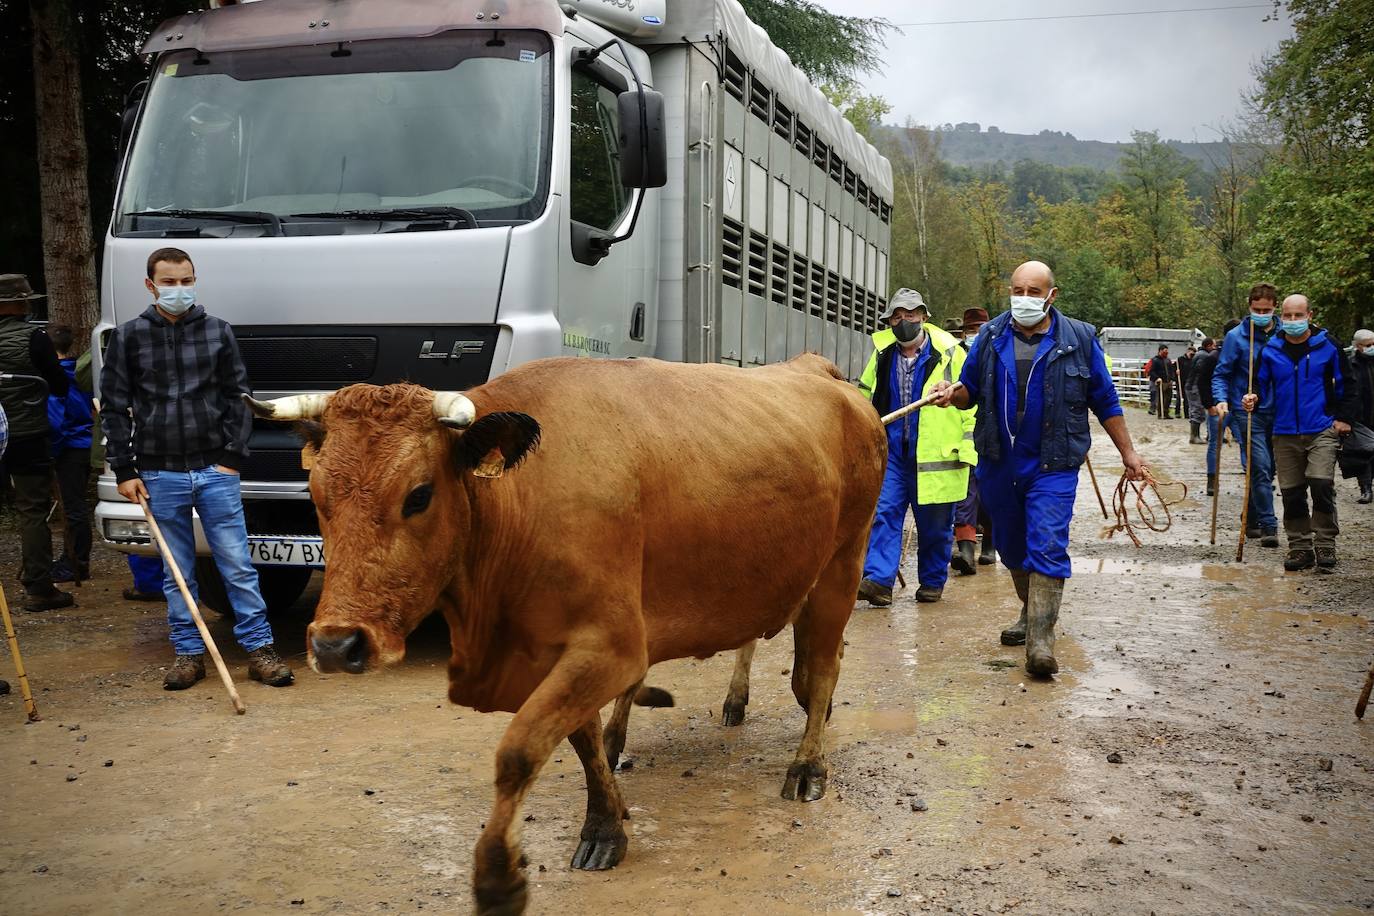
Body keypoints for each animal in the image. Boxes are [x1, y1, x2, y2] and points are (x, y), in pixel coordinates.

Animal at [247, 357, 879, 916]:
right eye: (318, 496)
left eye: (419, 495)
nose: (335, 644)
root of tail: (823, 372)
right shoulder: (558, 654)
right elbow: (583, 741)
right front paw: (607, 821)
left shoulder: (613, 649)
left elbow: (519, 752)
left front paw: (499, 878)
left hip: (841, 567)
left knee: (825, 667)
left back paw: (808, 766)